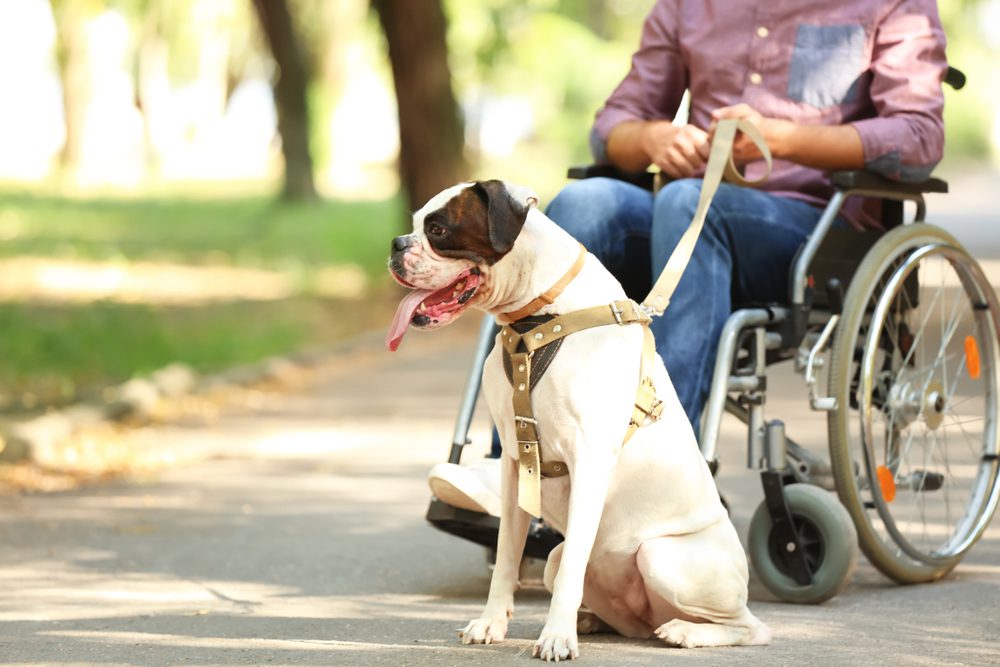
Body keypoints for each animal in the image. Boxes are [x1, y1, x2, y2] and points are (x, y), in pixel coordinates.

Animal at [386, 180, 768, 660]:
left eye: (438, 229)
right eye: (415, 223)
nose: (396, 244)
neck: (539, 319)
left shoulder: (588, 462)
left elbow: (572, 570)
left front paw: (556, 638)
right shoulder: (517, 464)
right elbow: (507, 556)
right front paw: (492, 622)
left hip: (664, 559)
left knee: (748, 626)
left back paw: (685, 631)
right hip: (569, 568)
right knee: (620, 614)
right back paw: (592, 620)